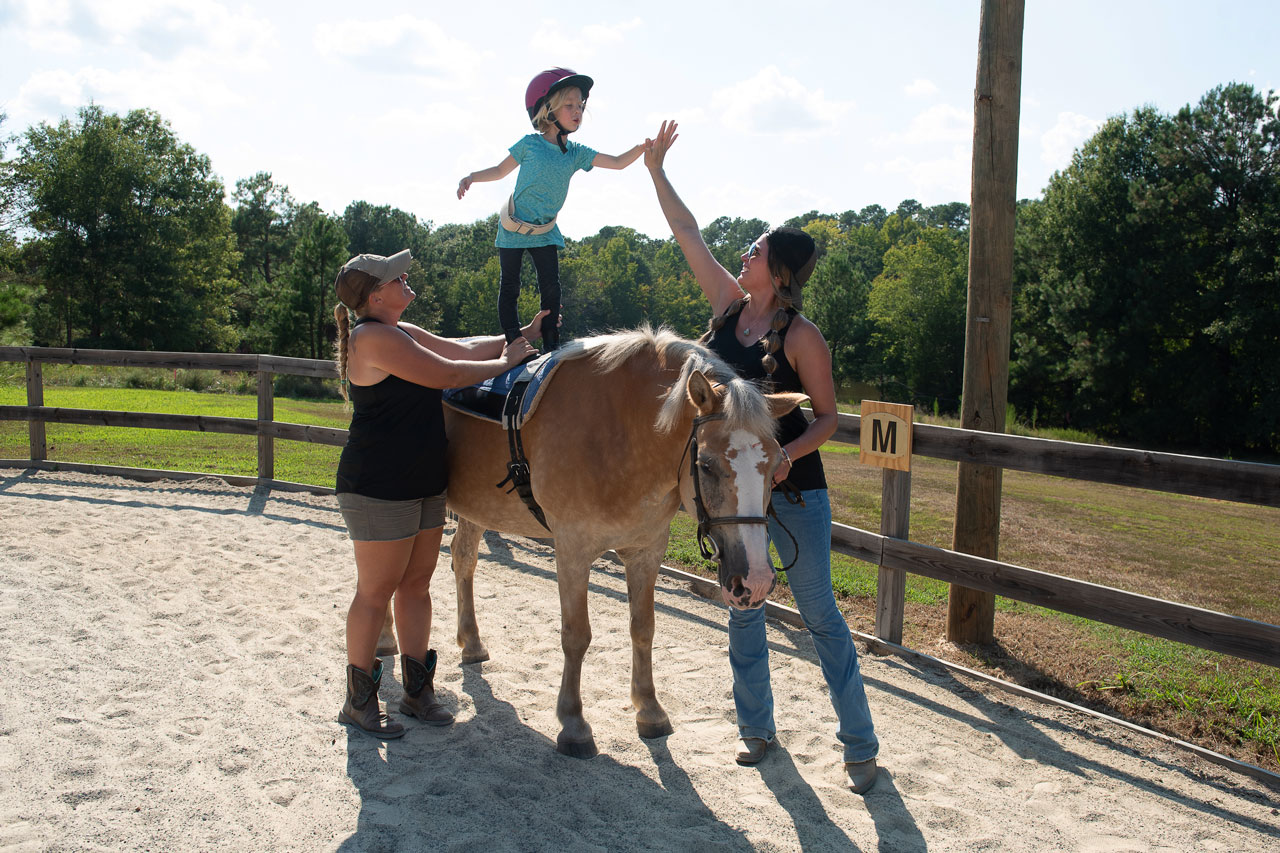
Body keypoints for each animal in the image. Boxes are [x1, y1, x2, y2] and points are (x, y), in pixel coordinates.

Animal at [442, 325, 798, 758]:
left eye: (777, 466)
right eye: (706, 465)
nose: (757, 581)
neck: (617, 432)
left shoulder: (645, 552)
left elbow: (643, 628)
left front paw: (649, 709)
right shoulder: (572, 550)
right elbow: (576, 636)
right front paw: (573, 723)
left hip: (476, 508)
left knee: (463, 561)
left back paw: (471, 643)